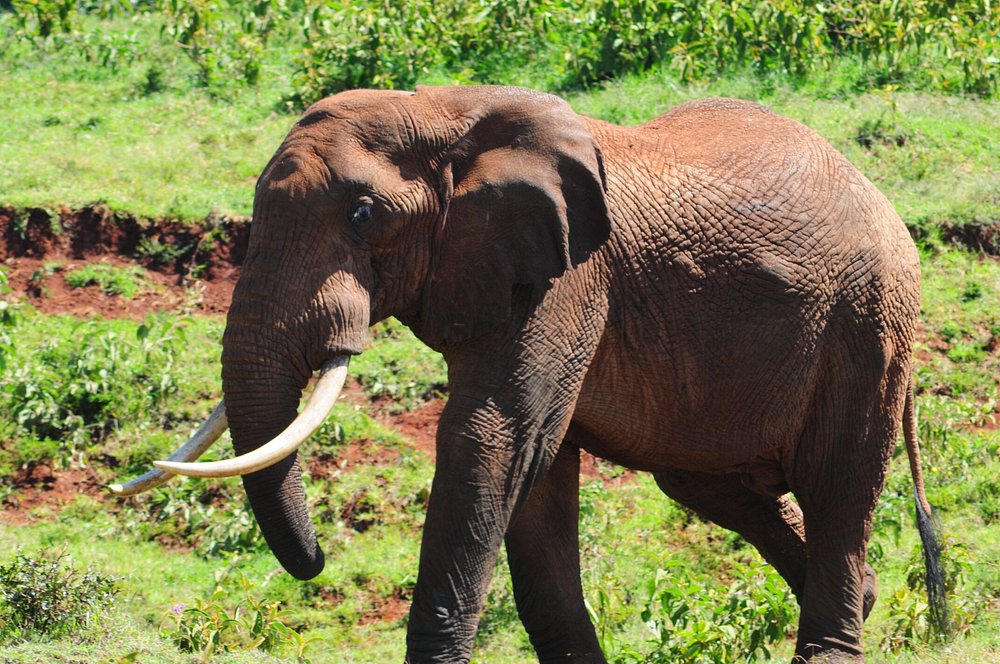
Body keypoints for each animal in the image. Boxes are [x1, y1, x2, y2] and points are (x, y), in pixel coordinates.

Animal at [111, 86, 948, 663]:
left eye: (362, 216)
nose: (316, 562)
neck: (445, 112)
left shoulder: (570, 278)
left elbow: (494, 438)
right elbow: (534, 471)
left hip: (868, 321)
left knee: (839, 484)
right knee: (715, 486)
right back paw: (864, 597)